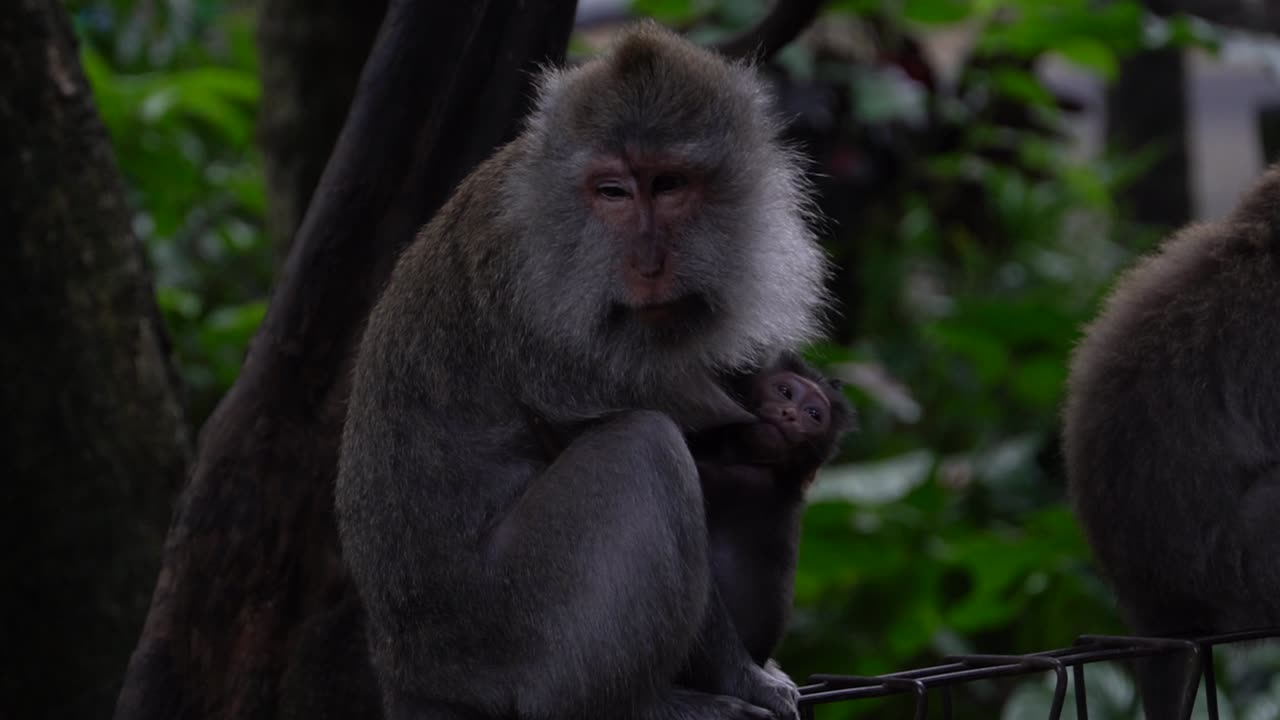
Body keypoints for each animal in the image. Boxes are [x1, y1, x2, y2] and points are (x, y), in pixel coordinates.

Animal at [336, 21, 831, 720]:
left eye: (669, 184)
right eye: (613, 191)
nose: (648, 265)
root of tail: (409, 676)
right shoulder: (553, 328)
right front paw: (744, 679)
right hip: (513, 624)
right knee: (644, 447)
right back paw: (641, 703)